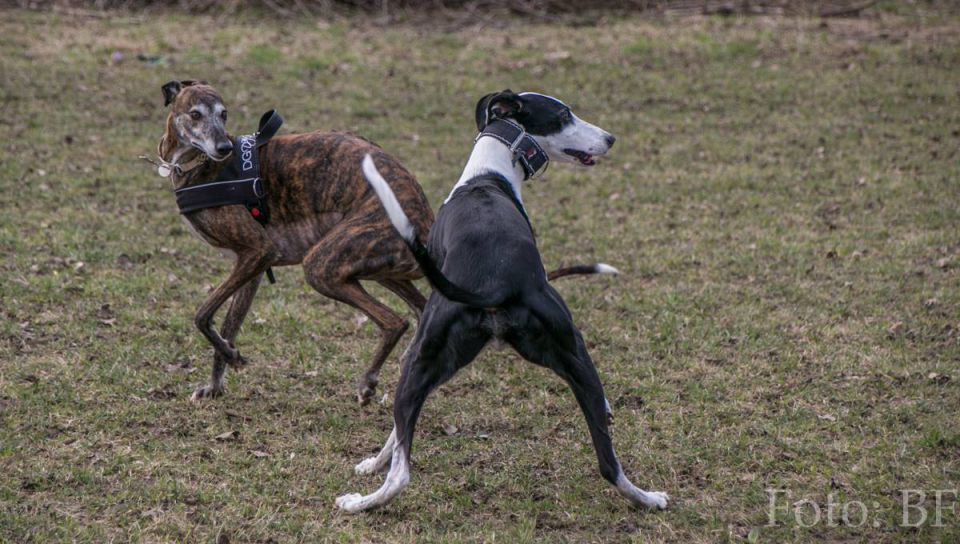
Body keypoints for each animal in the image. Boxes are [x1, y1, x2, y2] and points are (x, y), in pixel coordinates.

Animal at [338, 91, 668, 512]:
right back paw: (649, 498)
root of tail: (496, 283)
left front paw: (371, 462)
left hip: (427, 360)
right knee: (608, 463)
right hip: (565, 354)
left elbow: (397, 434)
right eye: (564, 115)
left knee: (402, 471)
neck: (487, 175)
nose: (610, 139)